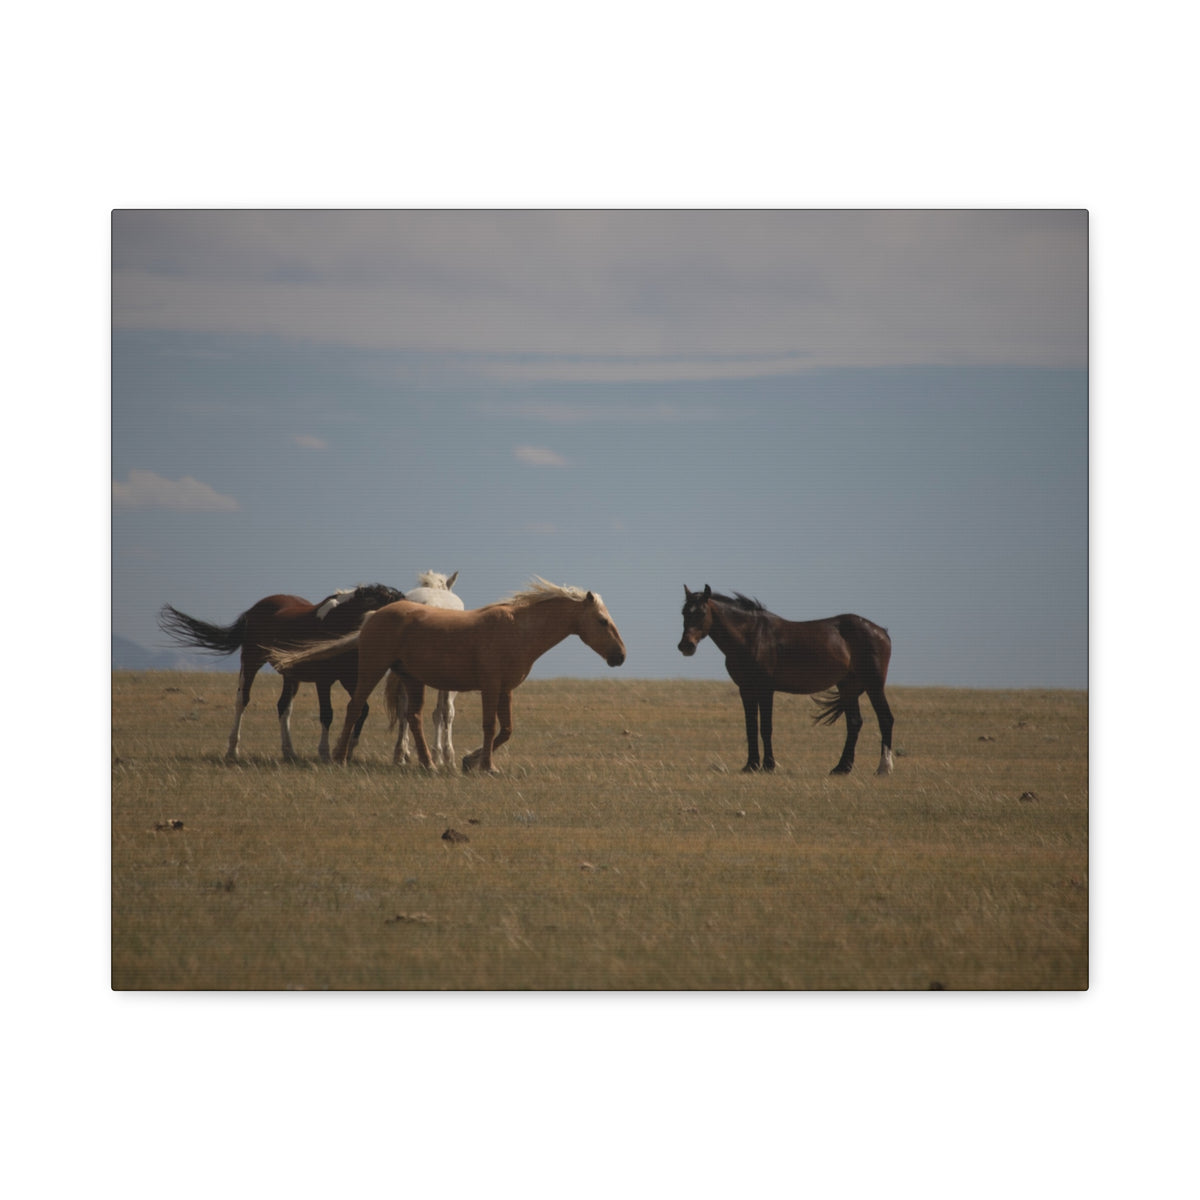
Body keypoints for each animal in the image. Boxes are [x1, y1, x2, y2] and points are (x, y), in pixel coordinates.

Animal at [157, 583, 404, 762]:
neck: (338, 622)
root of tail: (254, 609)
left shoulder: (349, 679)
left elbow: (361, 709)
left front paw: (347, 750)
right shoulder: (324, 681)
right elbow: (327, 714)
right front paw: (324, 752)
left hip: (290, 675)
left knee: (283, 707)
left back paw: (289, 752)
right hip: (251, 662)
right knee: (242, 700)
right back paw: (232, 750)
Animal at [678, 585, 894, 776]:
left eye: (701, 612)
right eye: (684, 612)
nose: (686, 646)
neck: (752, 637)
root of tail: (882, 632)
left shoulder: (766, 689)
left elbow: (766, 727)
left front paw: (768, 765)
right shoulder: (746, 689)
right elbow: (751, 727)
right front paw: (751, 765)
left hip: (874, 685)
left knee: (885, 719)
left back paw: (883, 768)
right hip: (847, 686)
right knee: (854, 722)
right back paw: (841, 768)